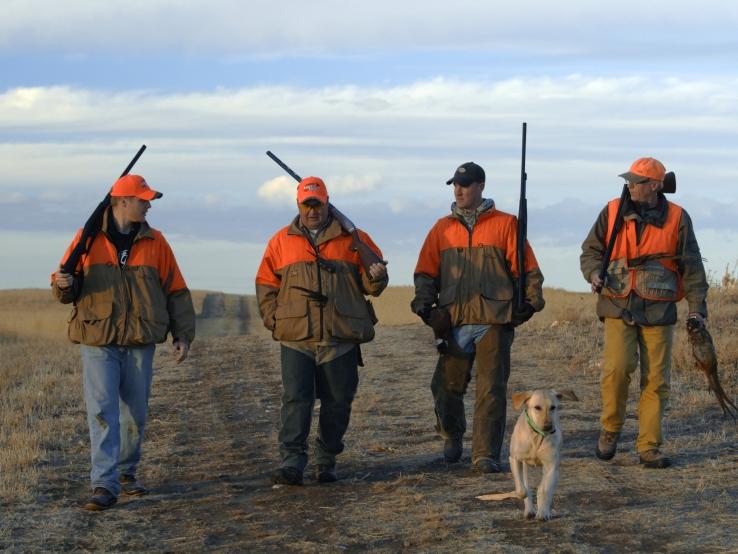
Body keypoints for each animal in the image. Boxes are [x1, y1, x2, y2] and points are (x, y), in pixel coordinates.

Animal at [474, 386, 576, 520]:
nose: (549, 427)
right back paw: (529, 510)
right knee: (526, 484)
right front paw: (522, 495)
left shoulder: (551, 465)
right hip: (525, 466)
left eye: (553, 407)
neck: (537, 437)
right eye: (537, 407)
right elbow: (522, 489)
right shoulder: (515, 459)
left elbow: (544, 490)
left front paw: (543, 512)